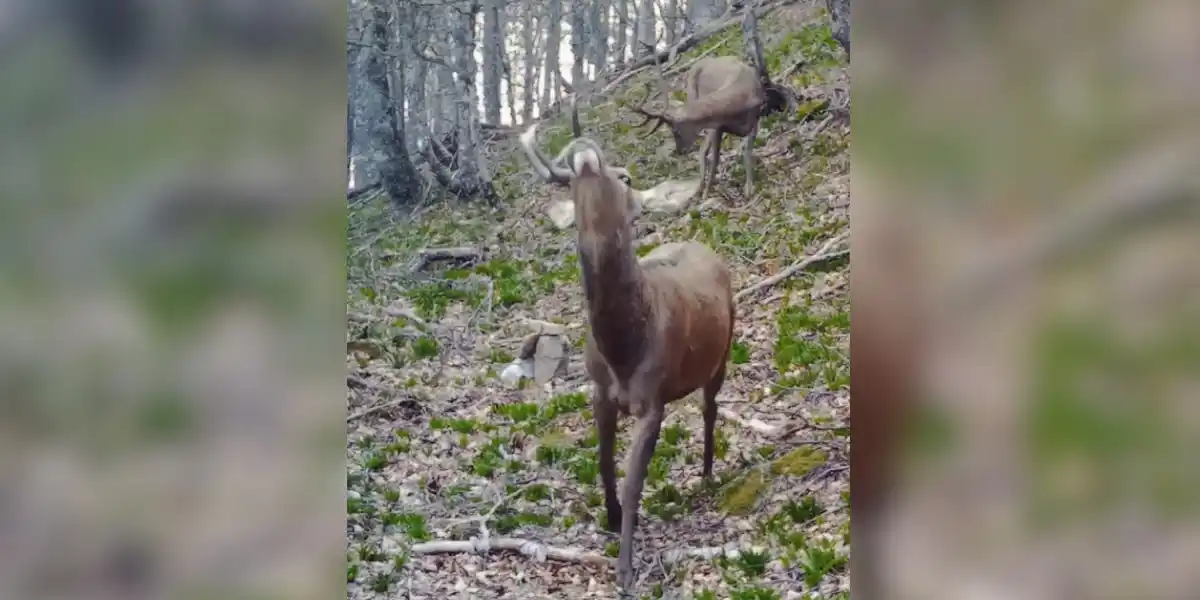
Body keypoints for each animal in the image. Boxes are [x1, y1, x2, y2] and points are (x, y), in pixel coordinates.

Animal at [556, 129, 734, 592]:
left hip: (725, 351)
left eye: (626, 176)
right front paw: (611, 518)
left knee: (710, 408)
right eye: (567, 185)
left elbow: (634, 483)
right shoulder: (600, 392)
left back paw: (707, 473)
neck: (623, 352)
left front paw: (625, 569)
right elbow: (603, 461)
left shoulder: (652, 401)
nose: (584, 154)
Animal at [624, 54, 792, 204]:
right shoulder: (717, 127)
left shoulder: (754, 120)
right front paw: (706, 193)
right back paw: (700, 189)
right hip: (692, 94)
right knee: (703, 151)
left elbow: (746, 152)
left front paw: (748, 189)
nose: (679, 151)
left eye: (676, 131)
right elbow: (714, 158)